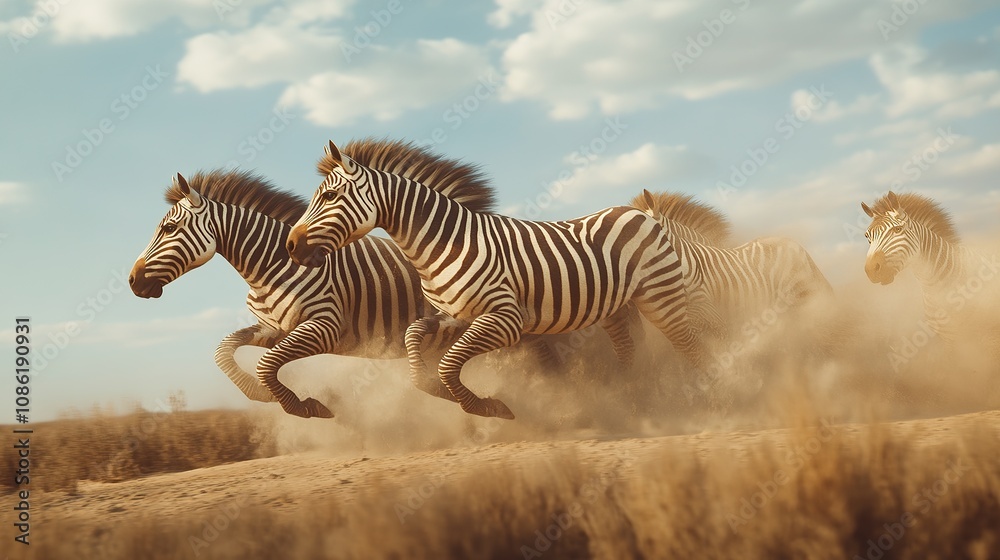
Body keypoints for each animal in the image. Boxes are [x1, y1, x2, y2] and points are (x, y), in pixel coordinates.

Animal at [128, 140, 498, 419]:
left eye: (169, 228)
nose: (132, 281)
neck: (270, 268)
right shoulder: (275, 328)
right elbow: (224, 350)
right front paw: (262, 394)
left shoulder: (325, 326)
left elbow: (267, 363)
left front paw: (303, 406)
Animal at [285, 140, 712, 420]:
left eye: (330, 197)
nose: (290, 245)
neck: (447, 243)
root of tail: (642, 213)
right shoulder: (455, 316)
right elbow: (414, 339)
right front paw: (440, 392)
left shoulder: (506, 320)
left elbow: (449, 363)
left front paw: (485, 406)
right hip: (617, 309)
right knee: (629, 350)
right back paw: (635, 402)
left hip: (661, 296)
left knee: (691, 345)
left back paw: (710, 399)